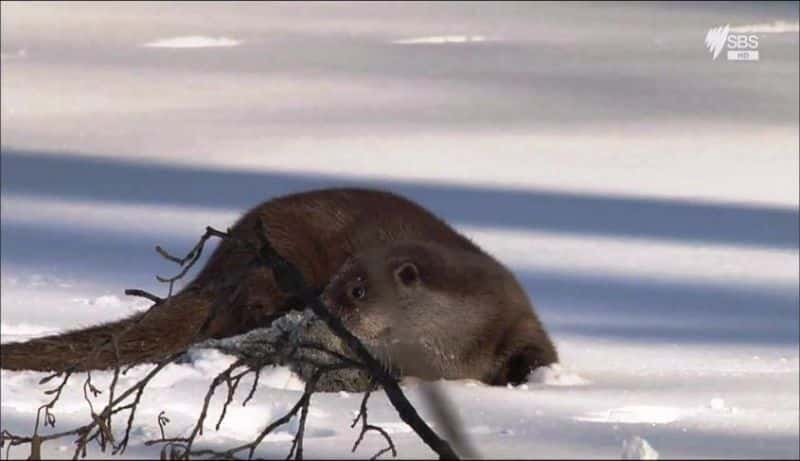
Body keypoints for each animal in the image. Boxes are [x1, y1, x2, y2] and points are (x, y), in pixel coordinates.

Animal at [0, 187, 556, 384]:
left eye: (358, 291)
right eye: (337, 282)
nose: (323, 304)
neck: (451, 351)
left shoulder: (516, 313)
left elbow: (536, 354)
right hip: (275, 264)